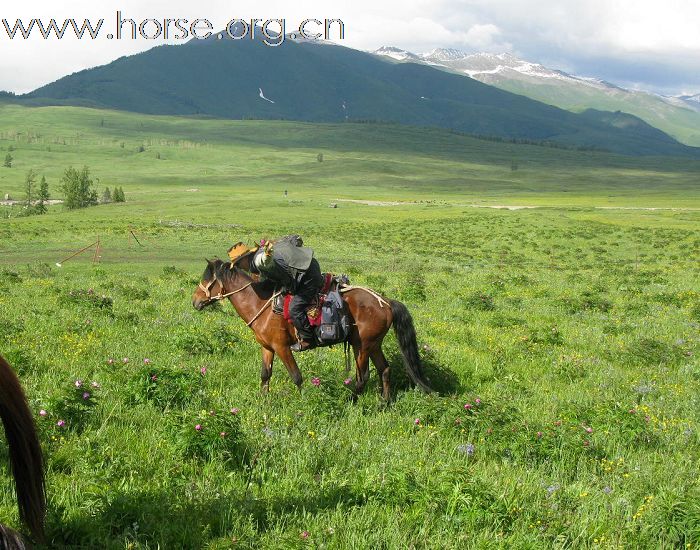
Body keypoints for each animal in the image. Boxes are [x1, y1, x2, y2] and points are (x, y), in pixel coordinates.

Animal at [193, 258, 432, 402]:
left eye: (207, 279)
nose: (195, 301)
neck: (260, 303)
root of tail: (385, 302)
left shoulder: (282, 347)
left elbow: (296, 376)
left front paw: (303, 401)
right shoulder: (267, 348)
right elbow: (265, 374)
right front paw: (263, 400)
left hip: (361, 345)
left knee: (363, 376)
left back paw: (350, 401)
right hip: (373, 344)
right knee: (384, 369)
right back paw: (384, 402)